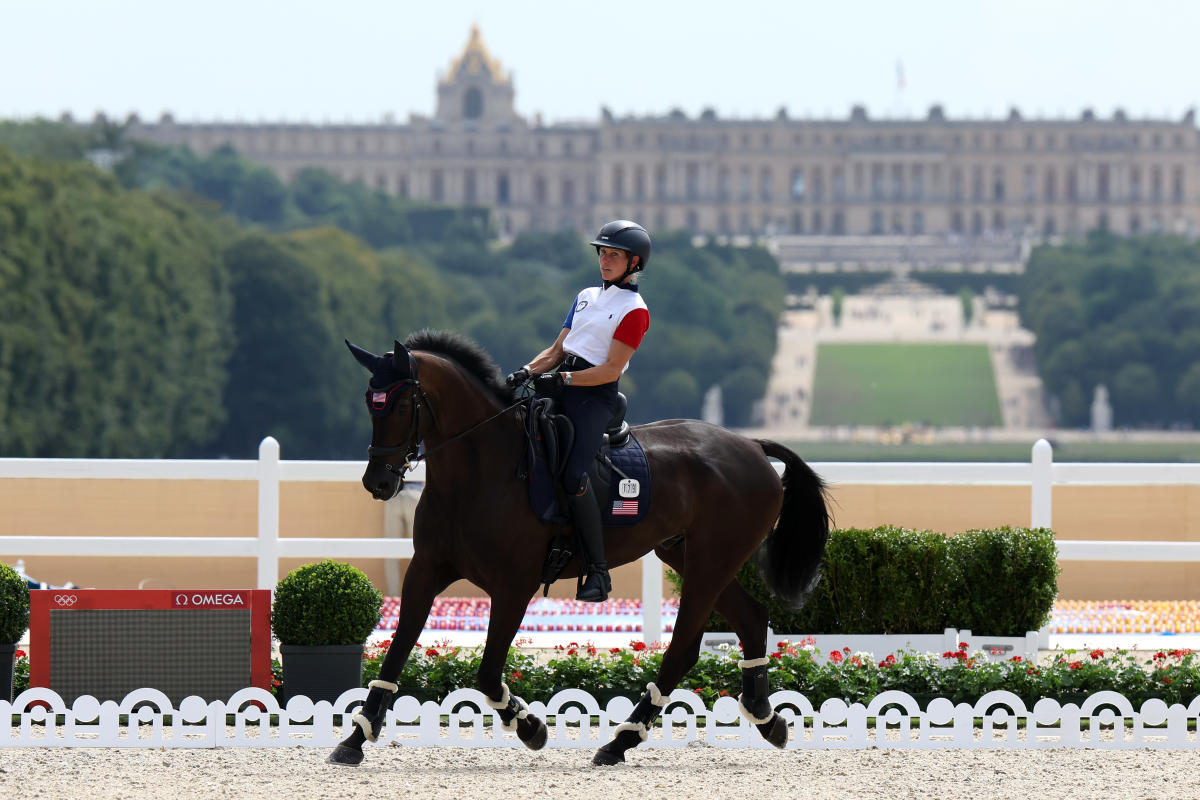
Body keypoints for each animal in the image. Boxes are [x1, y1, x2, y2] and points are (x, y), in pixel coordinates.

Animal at [333, 328, 830, 767]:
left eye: (401, 402)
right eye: (370, 402)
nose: (378, 482)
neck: (478, 472)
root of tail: (750, 445)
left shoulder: (513, 586)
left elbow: (489, 672)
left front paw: (531, 728)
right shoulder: (426, 570)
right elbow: (396, 653)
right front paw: (355, 739)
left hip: (713, 559)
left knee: (684, 649)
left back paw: (620, 742)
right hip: (689, 556)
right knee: (749, 620)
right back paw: (767, 720)